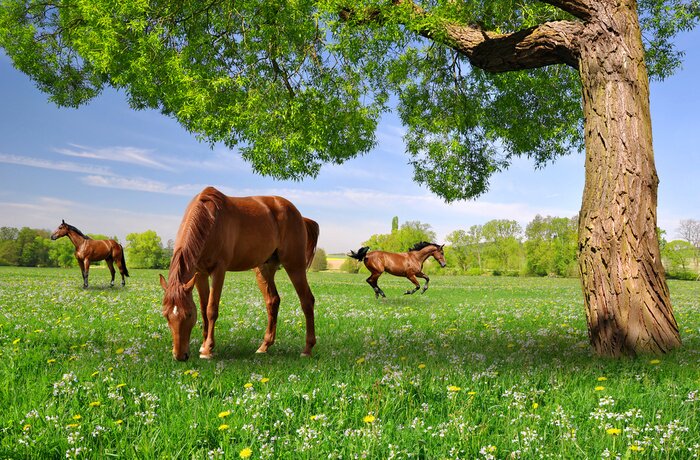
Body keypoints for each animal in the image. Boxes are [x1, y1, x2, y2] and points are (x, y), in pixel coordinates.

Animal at [159, 186, 319, 361]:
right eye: (166, 315)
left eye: (188, 314)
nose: (180, 356)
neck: (210, 220)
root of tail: (299, 215)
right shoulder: (200, 274)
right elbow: (203, 308)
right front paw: (203, 345)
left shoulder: (219, 270)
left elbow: (211, 309)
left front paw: (208, 349)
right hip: (264, 269)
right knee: (273, 301)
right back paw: (264, 346)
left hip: (294, 265)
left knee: (307, 301)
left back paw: (307, 349)